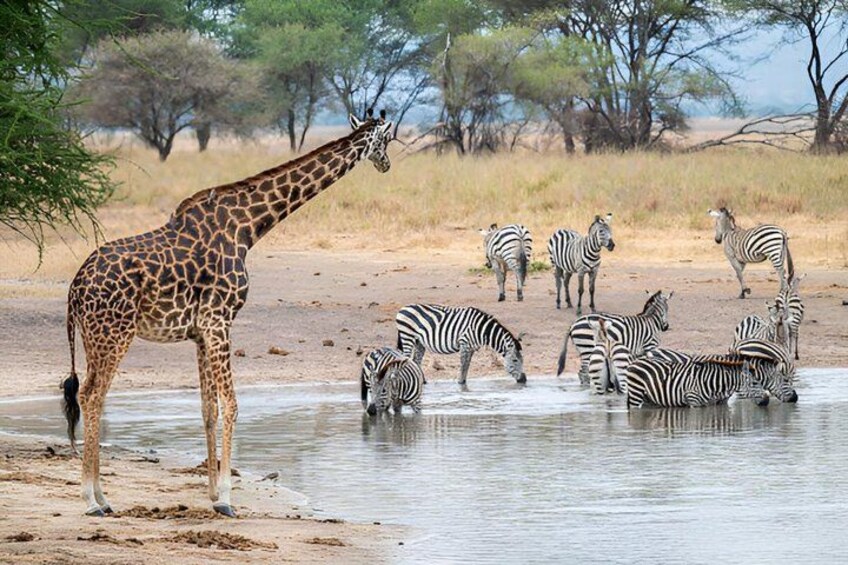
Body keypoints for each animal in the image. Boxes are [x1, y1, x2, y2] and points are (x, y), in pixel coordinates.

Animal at [61, 110, 394, 517]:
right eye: (387, 140)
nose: (386, 164)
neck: (247, 228)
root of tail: (75, 287)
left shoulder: (200, 332)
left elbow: (209, 409)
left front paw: (210, 492)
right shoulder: (220, 321)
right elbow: (233, 405)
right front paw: (226, 498)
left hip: (94, 337)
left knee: (92, 396)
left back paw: (104, 497)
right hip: (113, 334)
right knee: (92, 396)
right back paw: (91, 499)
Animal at [395, 304, 526, 384]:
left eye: (522, 360)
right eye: (515, 360)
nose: (524, 379)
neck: (481, 329)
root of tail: (402, 308)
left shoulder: (471, 347)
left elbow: (467, 365)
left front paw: (463, 382)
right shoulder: (465, 343)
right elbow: (464, 364)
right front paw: (460, 383)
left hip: (419, 342)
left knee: (416, 361)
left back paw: (422, 381)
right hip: (407, 336)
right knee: (406, 358)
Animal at [625, 358, 771, 409]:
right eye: (754, 383)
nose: (767, 401)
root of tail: (635, 361)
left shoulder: (717, 404)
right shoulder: (694, 401)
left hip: (648, 398)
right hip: (636, 394)